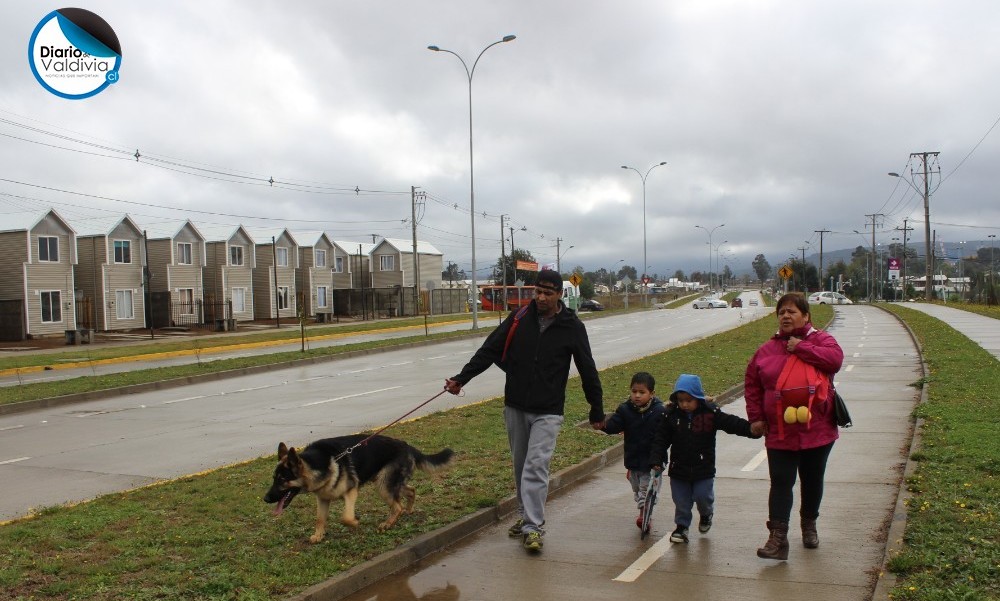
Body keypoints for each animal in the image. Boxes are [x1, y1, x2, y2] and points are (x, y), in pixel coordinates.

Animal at [266, 434, 454, 540]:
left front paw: (355, 523)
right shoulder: (323, 499)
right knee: (411, 491)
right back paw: (408, 510)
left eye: (282, 479)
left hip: (383, 486)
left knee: (397, 506)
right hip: (387, 482)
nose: (265, 499)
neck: (321, 464)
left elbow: (345, 517)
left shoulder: (351, 491)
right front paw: (318, 535)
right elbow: (320, 519)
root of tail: (406, 445)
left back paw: (388, 523)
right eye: (274, 478)